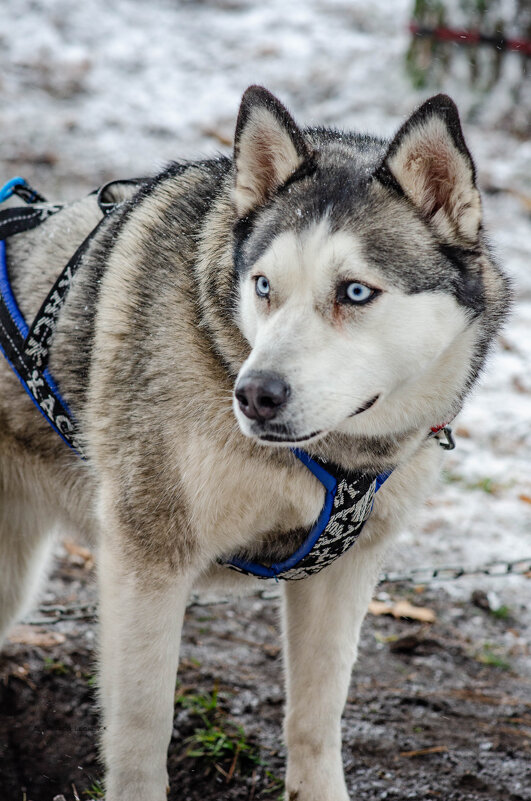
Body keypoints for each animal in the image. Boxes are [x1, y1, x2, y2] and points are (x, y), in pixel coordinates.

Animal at [0, 87, 512, 800]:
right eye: (264, 285)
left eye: (355, 291)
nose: (255, 395)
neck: (332, 458)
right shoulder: (147, 558)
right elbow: (142, 727)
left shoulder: (344, 569)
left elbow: (317, 717)